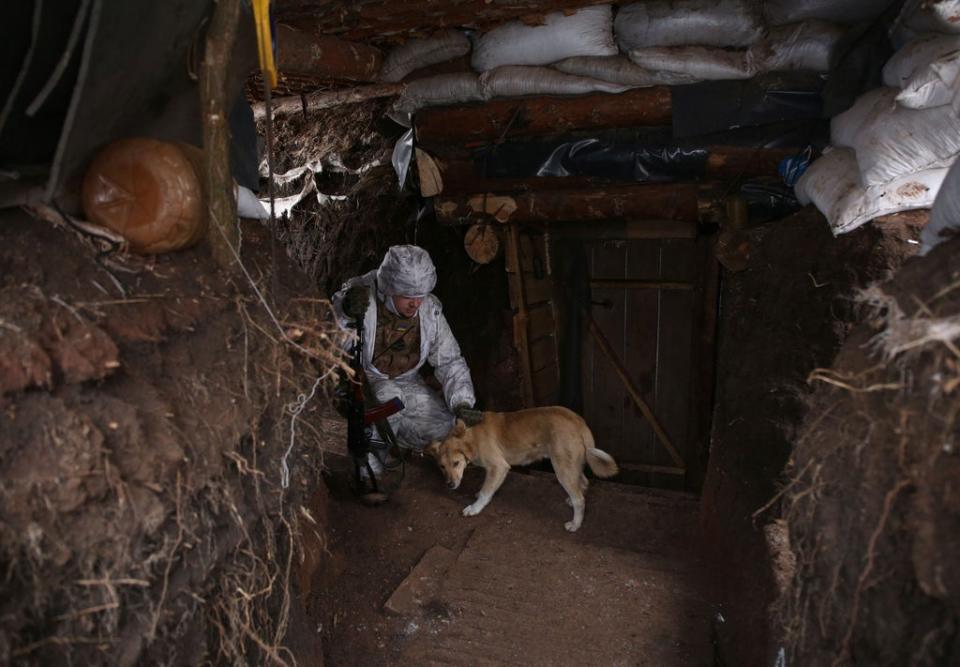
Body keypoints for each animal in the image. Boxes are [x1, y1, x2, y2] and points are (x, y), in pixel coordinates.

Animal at [426, 408, 620, 532]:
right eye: (442, 466)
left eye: (456, 463)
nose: (450, 485)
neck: (470, 437)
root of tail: (579, 422)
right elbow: (485, 489)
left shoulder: (498, 467)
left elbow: (486, 492)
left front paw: (474, 508)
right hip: (572, 465)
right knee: (583, 483)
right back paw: (571, 501)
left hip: (562, 469)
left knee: (580, 499)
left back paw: (575, 524)